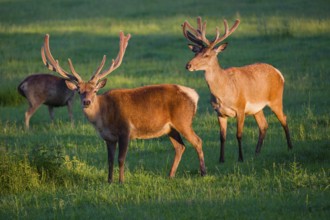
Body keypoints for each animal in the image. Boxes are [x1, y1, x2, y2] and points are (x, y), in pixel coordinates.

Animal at [40, 31, 206, 183]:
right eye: (79, 91)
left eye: (94, 91)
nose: (86, 102)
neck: (103, 118)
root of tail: (194, 95)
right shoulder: (108, 138)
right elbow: (110, 160)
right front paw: (109, 181)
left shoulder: (125, 130)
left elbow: (121, 158)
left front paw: (121, 181)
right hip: (170, 128)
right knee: (180, 146)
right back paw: (170, 175)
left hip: (183, 120)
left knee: (197, 141)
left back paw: (203, 173)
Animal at [182, 16, 292, 162]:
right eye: (195, 53)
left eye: (206, 55)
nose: (188, 65)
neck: (224, 94)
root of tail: (279, 73)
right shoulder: (219, 112)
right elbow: (222, 137)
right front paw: (221, 159)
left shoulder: (241, 107)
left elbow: (239, 134)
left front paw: (240, 158)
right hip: (257, 108)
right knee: (263, 125)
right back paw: (257, 153)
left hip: (276, 98)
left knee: (284, 119)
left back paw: (290, 147)